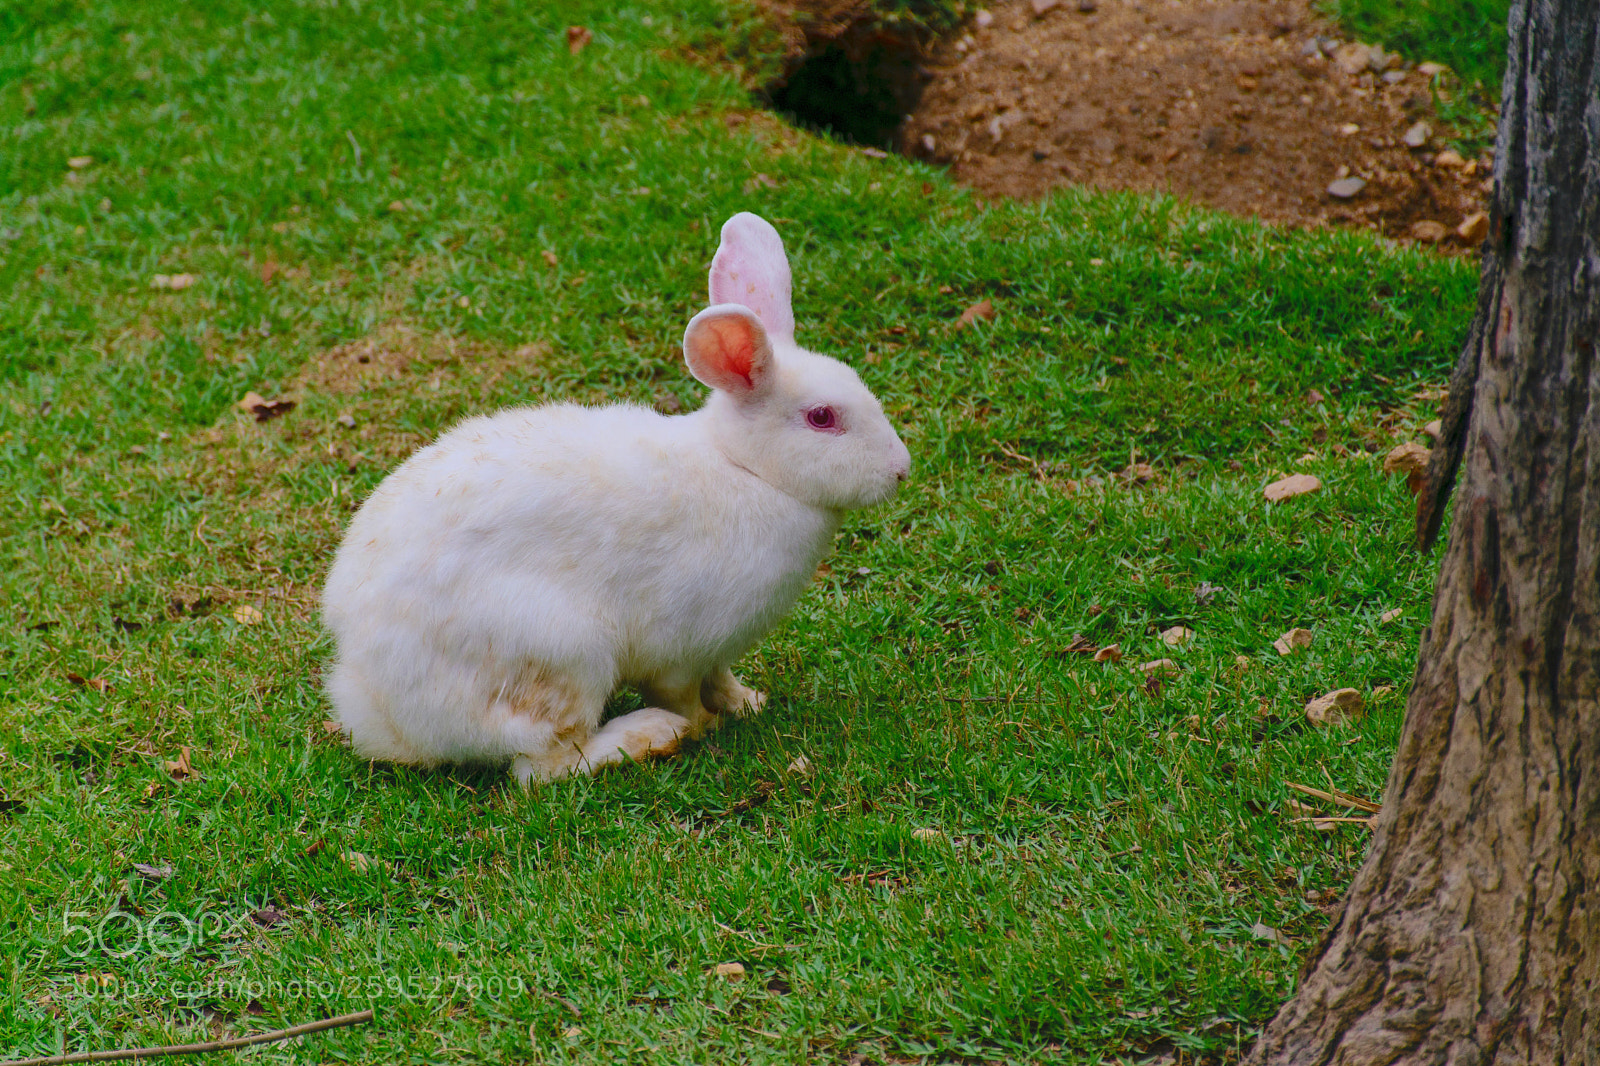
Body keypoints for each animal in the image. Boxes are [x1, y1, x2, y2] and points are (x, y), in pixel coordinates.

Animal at [322, 212, 911, 785]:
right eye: (822, 417)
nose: (900, 469)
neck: (745, 469)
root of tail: (380, 707)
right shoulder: (678, 650)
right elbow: (683, 694)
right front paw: (703, 725)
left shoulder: (717, 651)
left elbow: (721, 680)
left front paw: (748, 702)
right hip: (563, 656)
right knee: (544, 767)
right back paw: (652, 735)